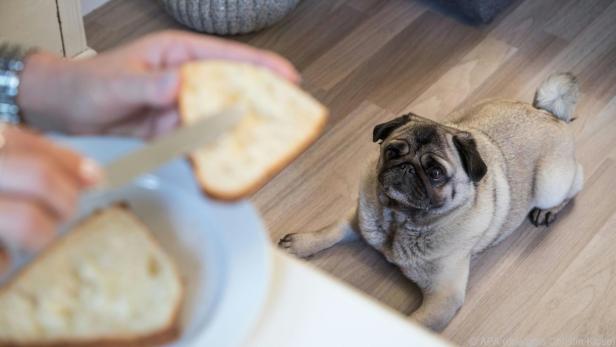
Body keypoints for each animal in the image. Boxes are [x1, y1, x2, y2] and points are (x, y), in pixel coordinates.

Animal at [278, 72, 584, 332]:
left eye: (435, 173)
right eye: (392, 152)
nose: (407, 167)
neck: (399, 220)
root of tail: (546, 112)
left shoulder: (443, 298)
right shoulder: (359, 220)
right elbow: (329, 231)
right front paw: (301, 244)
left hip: (550, 184)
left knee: (574, 185)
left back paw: (548, 211)